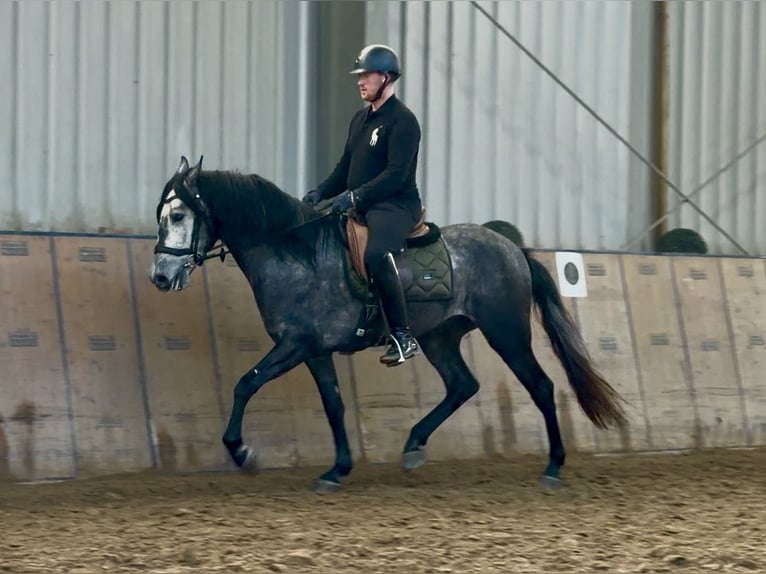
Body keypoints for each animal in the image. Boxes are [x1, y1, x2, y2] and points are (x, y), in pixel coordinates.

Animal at [150, 155, 627, 492]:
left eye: (178, 216)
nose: (160, 276)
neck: (296, 253)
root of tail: (511, 248)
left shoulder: (295, 345)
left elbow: (245, 384)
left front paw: (243, 453)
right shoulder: (314, 350)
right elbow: (334, 405)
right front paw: (337, 470)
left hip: (506, 333)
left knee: (541, 386)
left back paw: (553, 467)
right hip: (440, 337)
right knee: (462, 384)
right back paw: (414, 447)